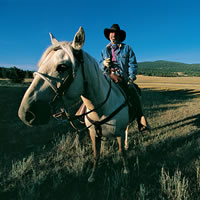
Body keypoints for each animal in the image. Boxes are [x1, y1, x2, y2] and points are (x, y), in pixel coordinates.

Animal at [17, 27, 133, 183]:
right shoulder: (93, 134)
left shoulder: (119, 132)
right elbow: (96, 154)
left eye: (62, 66)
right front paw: (92, 175)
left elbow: (122, 152)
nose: (25, 113)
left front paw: (126, 170)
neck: (101, 109)